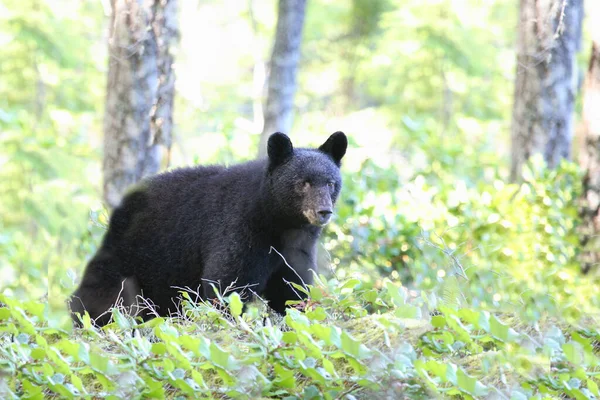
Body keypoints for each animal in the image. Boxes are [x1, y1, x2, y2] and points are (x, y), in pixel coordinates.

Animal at [68, 133, 346, 326]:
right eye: (303, 183)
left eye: (331, 183)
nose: (323, 211)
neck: (278, 222)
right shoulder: (239, 228)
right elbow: (226, 286)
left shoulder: (297, 247)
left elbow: (291, 289)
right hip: (129, 253)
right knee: (104, 293)